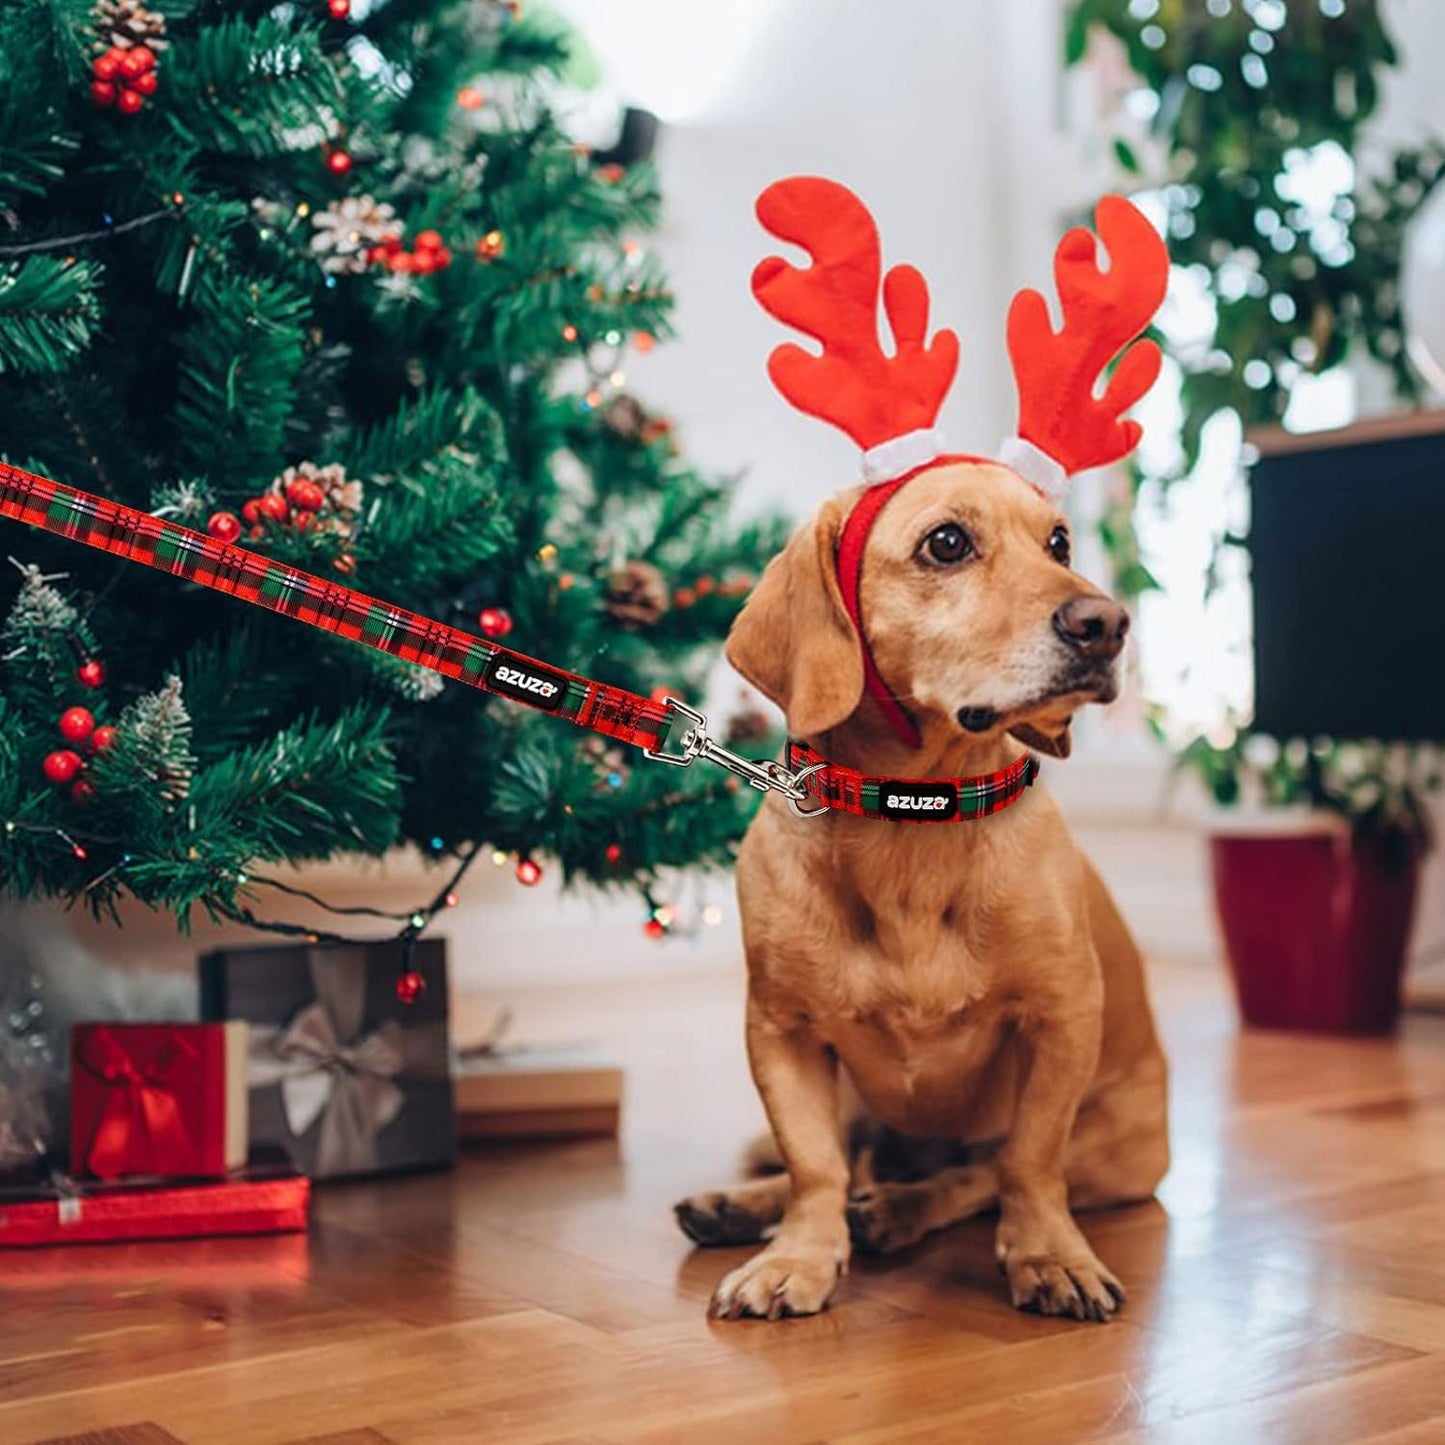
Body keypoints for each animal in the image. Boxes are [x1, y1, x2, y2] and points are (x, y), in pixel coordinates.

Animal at [679, 462, 1173, 1323]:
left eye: (1059, 542)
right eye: (946, 542)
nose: (1106, 622)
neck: (913, 818)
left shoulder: (1060, 1019)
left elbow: (1027, 1161)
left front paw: (1048, 1253)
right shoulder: (780, 1030)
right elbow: (812, 1164)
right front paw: (797, 1254)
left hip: (1114, 1144)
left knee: (974, 1175)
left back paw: (900, 1209)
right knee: (849, 1164)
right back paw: (744, 1203)